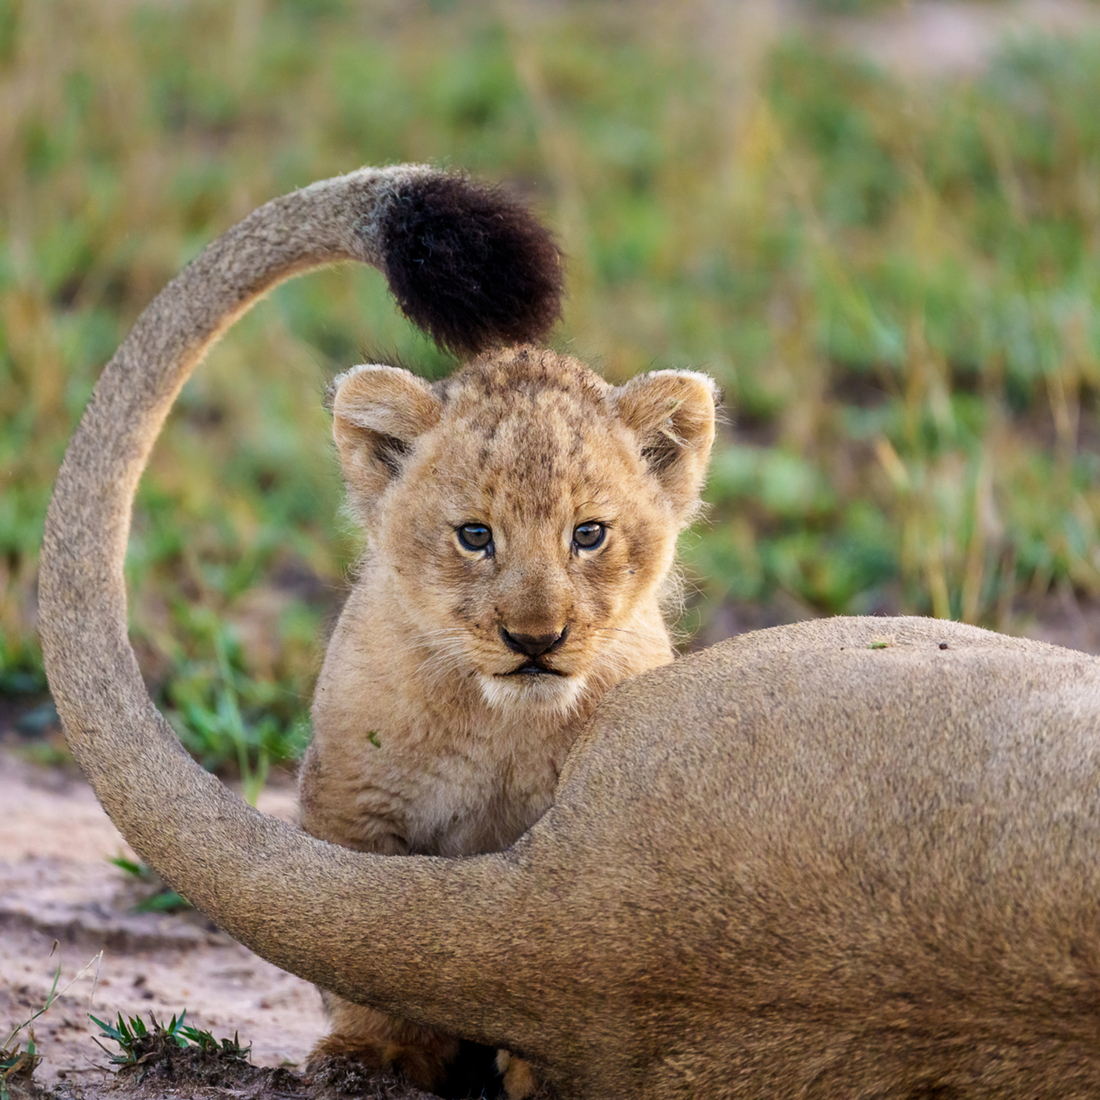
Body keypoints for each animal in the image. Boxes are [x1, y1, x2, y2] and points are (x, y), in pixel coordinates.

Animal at [39, 167, 1100, 1099]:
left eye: (588, 535)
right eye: (475, 537)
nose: (536, 638)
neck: (496, 728)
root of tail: (585, 908)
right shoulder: (354, 794)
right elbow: (366, 977)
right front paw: (368, 1060)